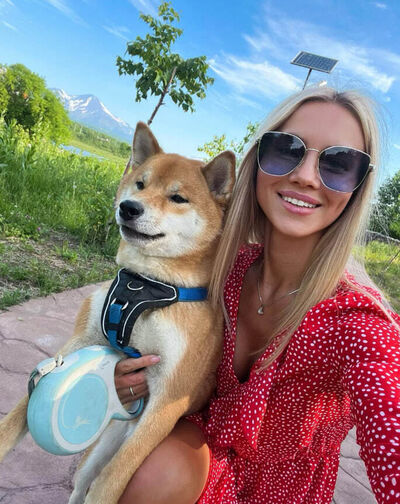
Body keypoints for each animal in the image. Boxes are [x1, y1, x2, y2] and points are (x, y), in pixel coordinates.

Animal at [0, 122, 235, 503]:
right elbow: (15, 417)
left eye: (177, 198)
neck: (147, 286)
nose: (129, 207)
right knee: (80, 485)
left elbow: (112, 480)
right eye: (140, 183)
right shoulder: (78, 342)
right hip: (96, 451)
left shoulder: (168, 397)